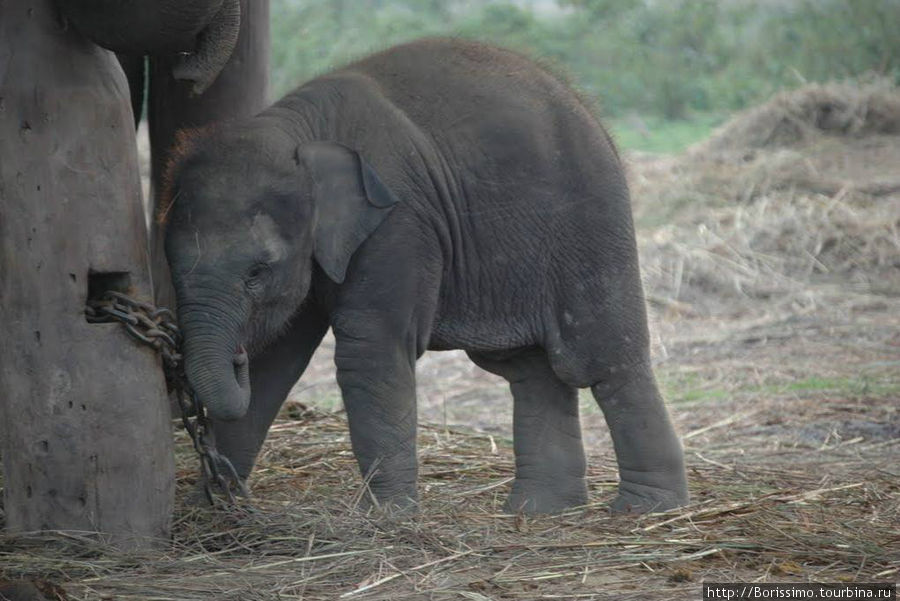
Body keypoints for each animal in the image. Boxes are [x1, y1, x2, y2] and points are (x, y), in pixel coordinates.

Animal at [163, 38, 688, 516]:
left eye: (258, 270)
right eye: (170, 265)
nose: (235, 355)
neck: (298, 129)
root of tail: (586, 105)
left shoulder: (399, 221)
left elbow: (369, 347)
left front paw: (388, 519)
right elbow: (277, 361)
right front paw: (211, 509)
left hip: (591, 224)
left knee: (603, 359)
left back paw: (647, 511)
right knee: (530, 370)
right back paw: (540, 511)